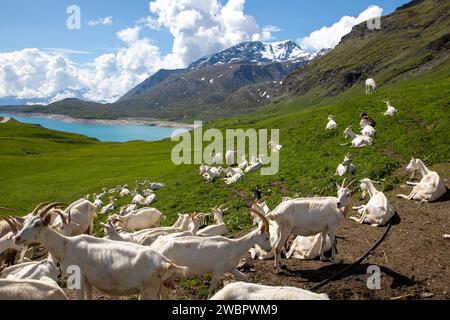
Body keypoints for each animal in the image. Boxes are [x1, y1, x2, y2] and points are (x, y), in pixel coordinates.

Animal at [13, 202, 187, 300]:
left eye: (38, 224)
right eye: (25, 222)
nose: (17, 238)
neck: (65, 245)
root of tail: (165, 262)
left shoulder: (78, 278)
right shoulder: (88, 280)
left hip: (149, 290)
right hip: (158, 288)